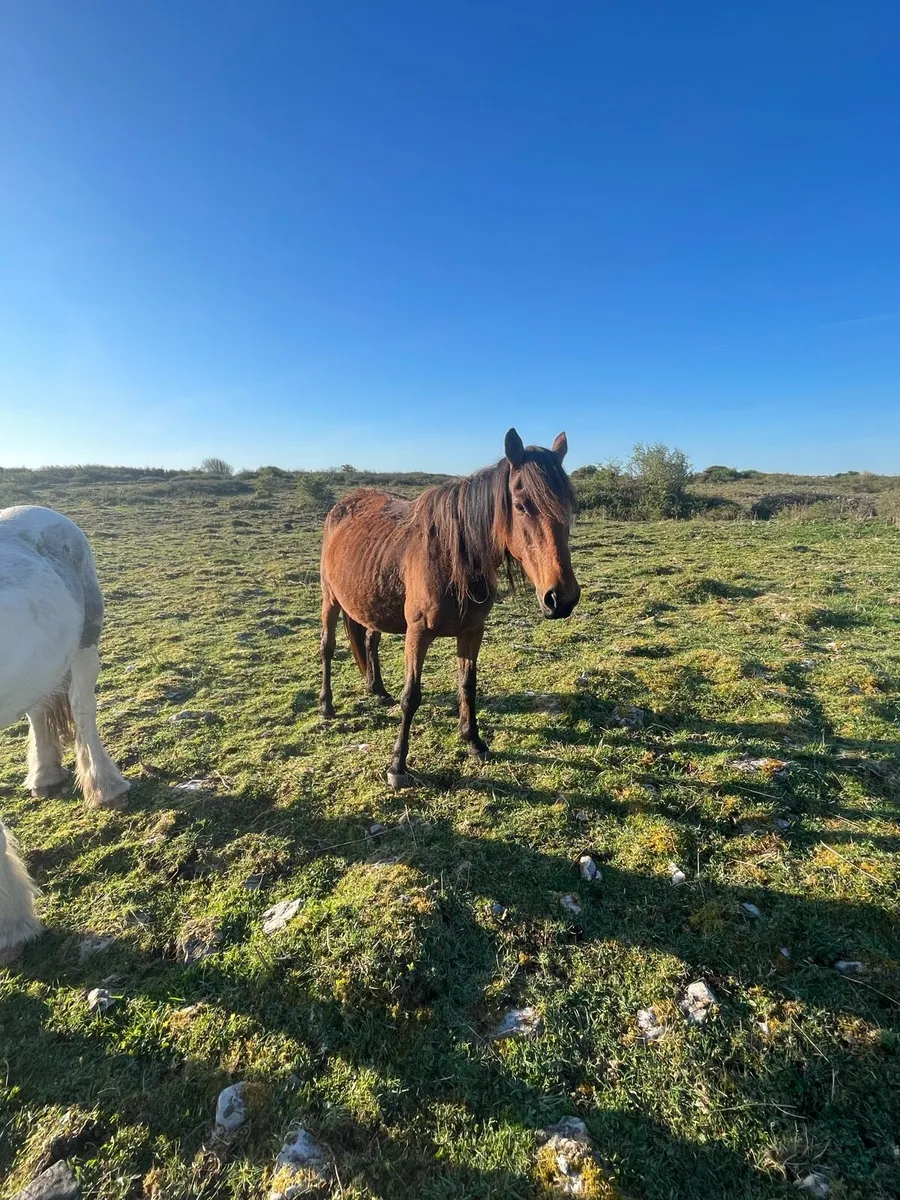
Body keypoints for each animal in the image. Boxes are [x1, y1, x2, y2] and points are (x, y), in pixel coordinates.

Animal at [0, 505, 130, 964]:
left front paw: (12, 926)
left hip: (85, 641)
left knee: (81, 707)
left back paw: (105, 786)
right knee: (40, 708)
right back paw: (45, 776)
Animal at [319, 428, 581, 788]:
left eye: (569, 503)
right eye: (520, 505)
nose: (562, 599)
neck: (453, 556)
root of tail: (343, 505)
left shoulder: (472, 631)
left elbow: (467, 684)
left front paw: (474, 741)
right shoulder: (417, 633)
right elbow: (412, 696)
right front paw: (397, 765)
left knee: (370, 640)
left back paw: (378, 690)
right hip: (329, 599)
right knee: (327, 648)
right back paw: (326, 706)